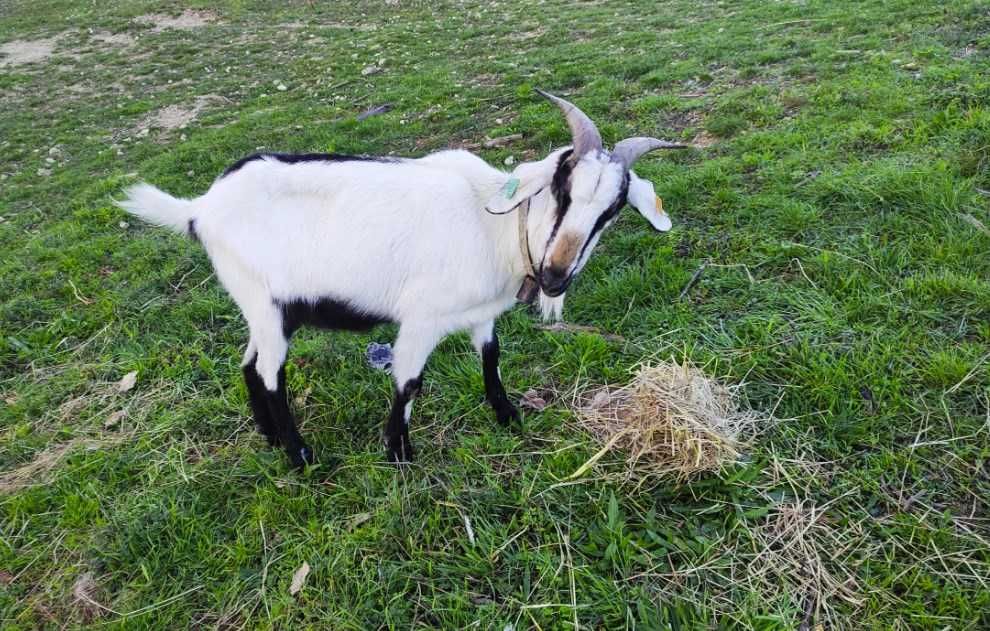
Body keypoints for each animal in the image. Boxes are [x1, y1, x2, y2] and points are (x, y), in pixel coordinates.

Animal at [117, 90, 683, 468]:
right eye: (562, 187)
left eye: (612, 210)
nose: (555, 276)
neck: (492, 223)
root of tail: (200, 209)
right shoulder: (421, 318)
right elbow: (409, 381)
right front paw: (399, 453)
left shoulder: (480, 315)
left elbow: (491, 357)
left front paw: (507, 416)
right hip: (263, 303)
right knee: (269, 373)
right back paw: (300, 456)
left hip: (270, 309)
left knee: (249, 363)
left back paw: (273, 440)